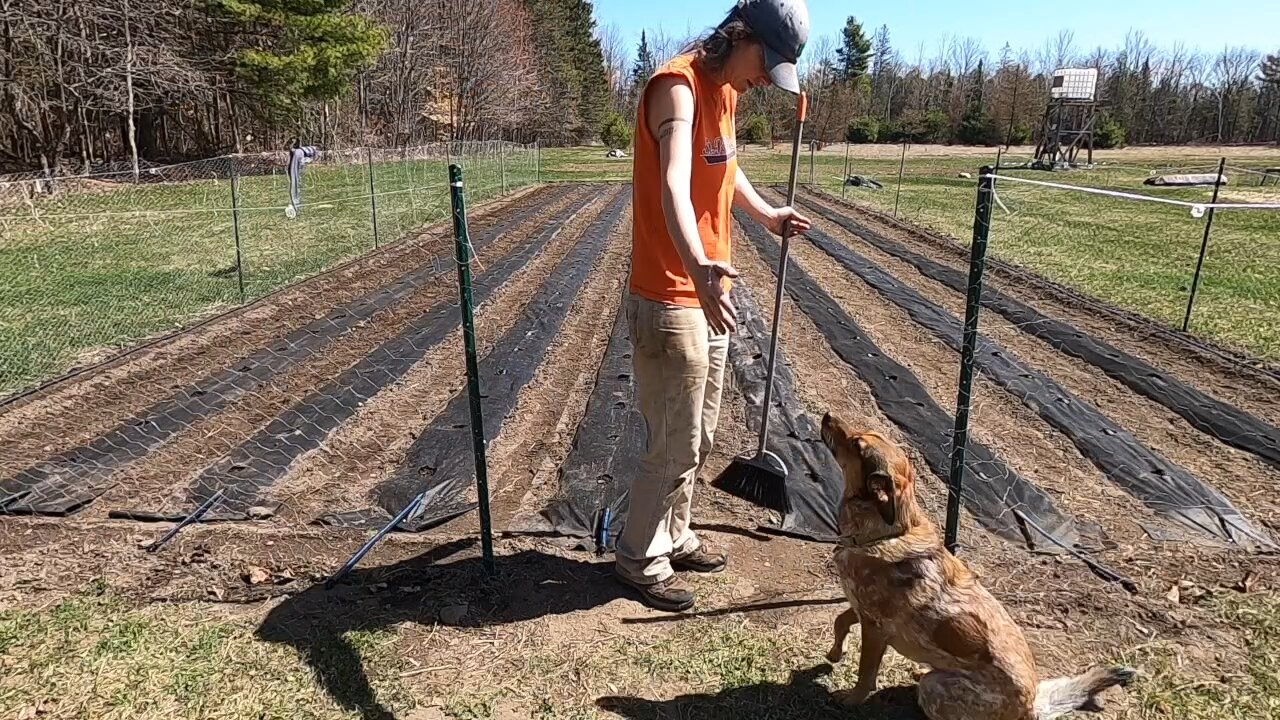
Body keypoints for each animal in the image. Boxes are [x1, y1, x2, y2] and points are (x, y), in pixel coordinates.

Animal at [819, 409, 1131, 717]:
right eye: (863, 435)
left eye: (857, 444)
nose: (827, 415)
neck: (887, 532)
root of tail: (1030, 707)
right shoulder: (861, 609)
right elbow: (839, 620)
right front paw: (835, 653)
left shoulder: (875, 628)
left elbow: (865, 673)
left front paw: (851, 697)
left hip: (936, 689)